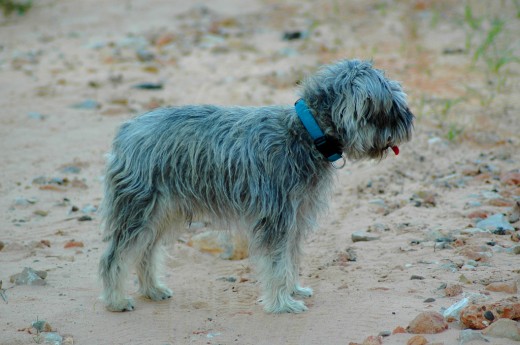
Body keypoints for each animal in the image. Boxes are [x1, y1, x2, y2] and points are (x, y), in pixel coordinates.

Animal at [97, 59, 414, 312]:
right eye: (391, 107)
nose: (409, 124)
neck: (306, 133)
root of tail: (126, 131)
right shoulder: (276, 221)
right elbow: (276, 264)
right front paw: (283, 303)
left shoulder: (294, 221)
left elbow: (288, 261)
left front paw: (292, 290)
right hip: (138, 213)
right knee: (115, 257)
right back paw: (115, 300)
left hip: (161, 215)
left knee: (146, 253)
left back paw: (152, 289)